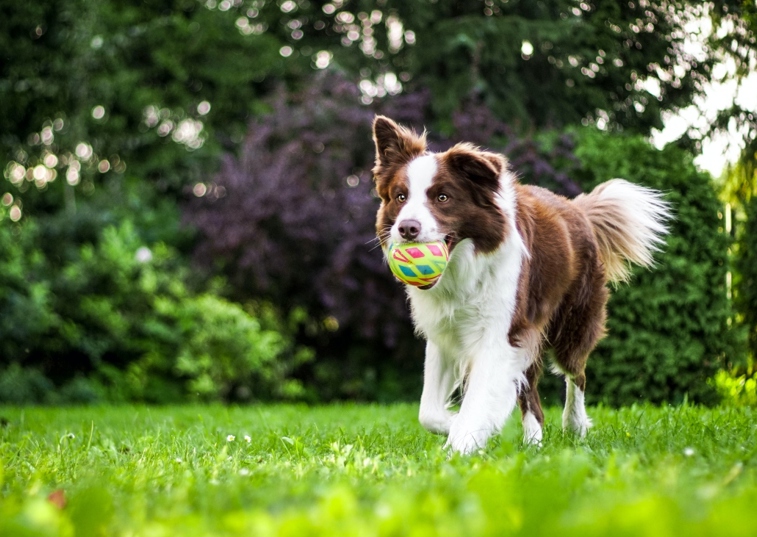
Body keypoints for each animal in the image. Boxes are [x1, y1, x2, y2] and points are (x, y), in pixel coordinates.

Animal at [370, 114, 672, 452]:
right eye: (401, 197)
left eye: (442, 197)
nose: (407, 228)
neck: (463, 267)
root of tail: (577, 208)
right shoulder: (445, 333)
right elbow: (428, 412)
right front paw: (458, 426)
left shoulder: (501, 332)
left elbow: (478, 398)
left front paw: (462, 443)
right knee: (532, 395)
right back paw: (533, 443)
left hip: (572, 322)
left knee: (576, 373)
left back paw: (574, 425)